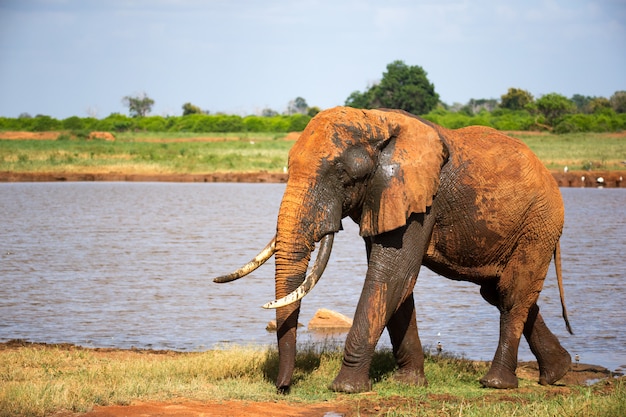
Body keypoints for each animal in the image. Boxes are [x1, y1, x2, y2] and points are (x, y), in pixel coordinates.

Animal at [213, 106, 572, 394]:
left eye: (341, 174)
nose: (283, 389)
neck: (375, 121)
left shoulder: (418, 199)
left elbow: (391, 274)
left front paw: (347, 388)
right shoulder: (382, 198)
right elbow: (399, 284)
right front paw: (409, 383)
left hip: (539, 222)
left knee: (512, 293)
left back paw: (496, 383)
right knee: (499, 292)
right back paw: (558, 373)